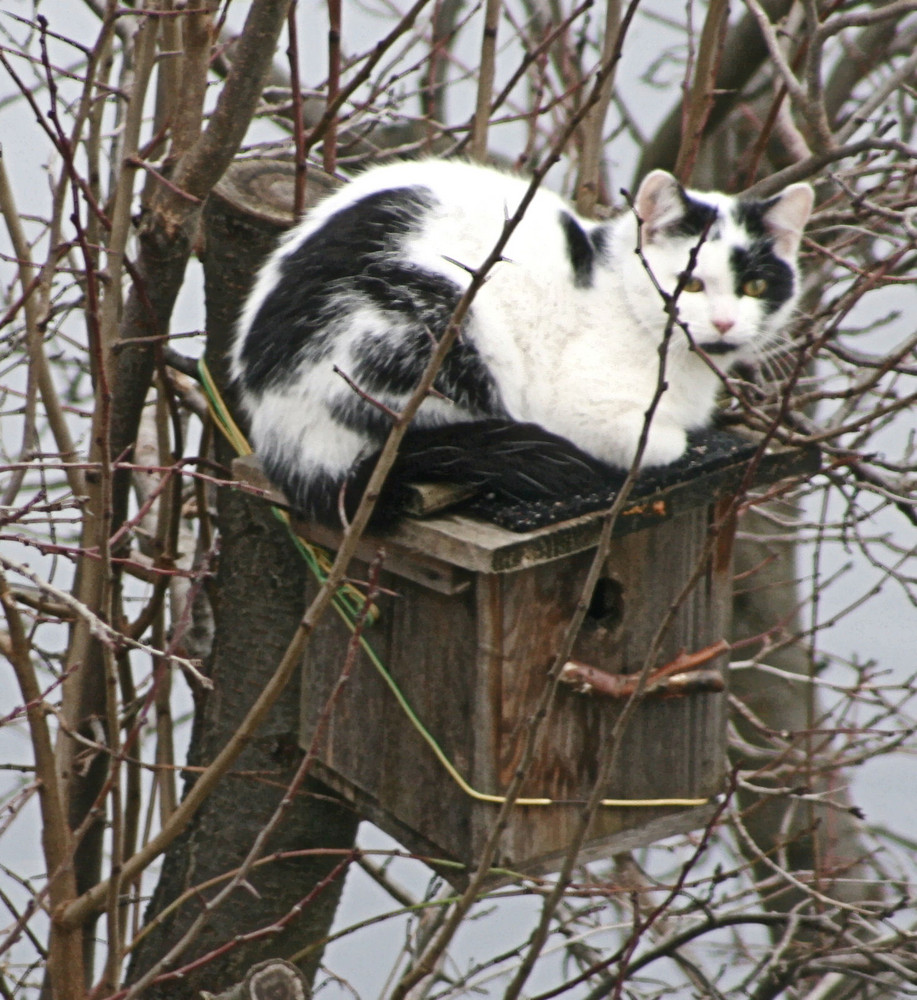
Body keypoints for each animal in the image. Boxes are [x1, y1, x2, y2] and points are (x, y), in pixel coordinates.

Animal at [227, 158, 808, 524]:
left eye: (755, 287)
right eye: (690, 284)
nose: (725, 324)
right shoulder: (585, 407)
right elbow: (663, 442)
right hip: (436, 320)